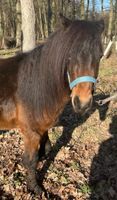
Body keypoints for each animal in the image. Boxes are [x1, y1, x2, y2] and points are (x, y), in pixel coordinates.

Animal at [0, 15, 103, 194]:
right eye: (70, 56)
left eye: (101, 56)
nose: (82, 103)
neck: (36, 84)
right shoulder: (31, 132)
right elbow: (31, 160)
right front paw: (35, 188)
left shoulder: (42, 127)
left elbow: (46, 147)